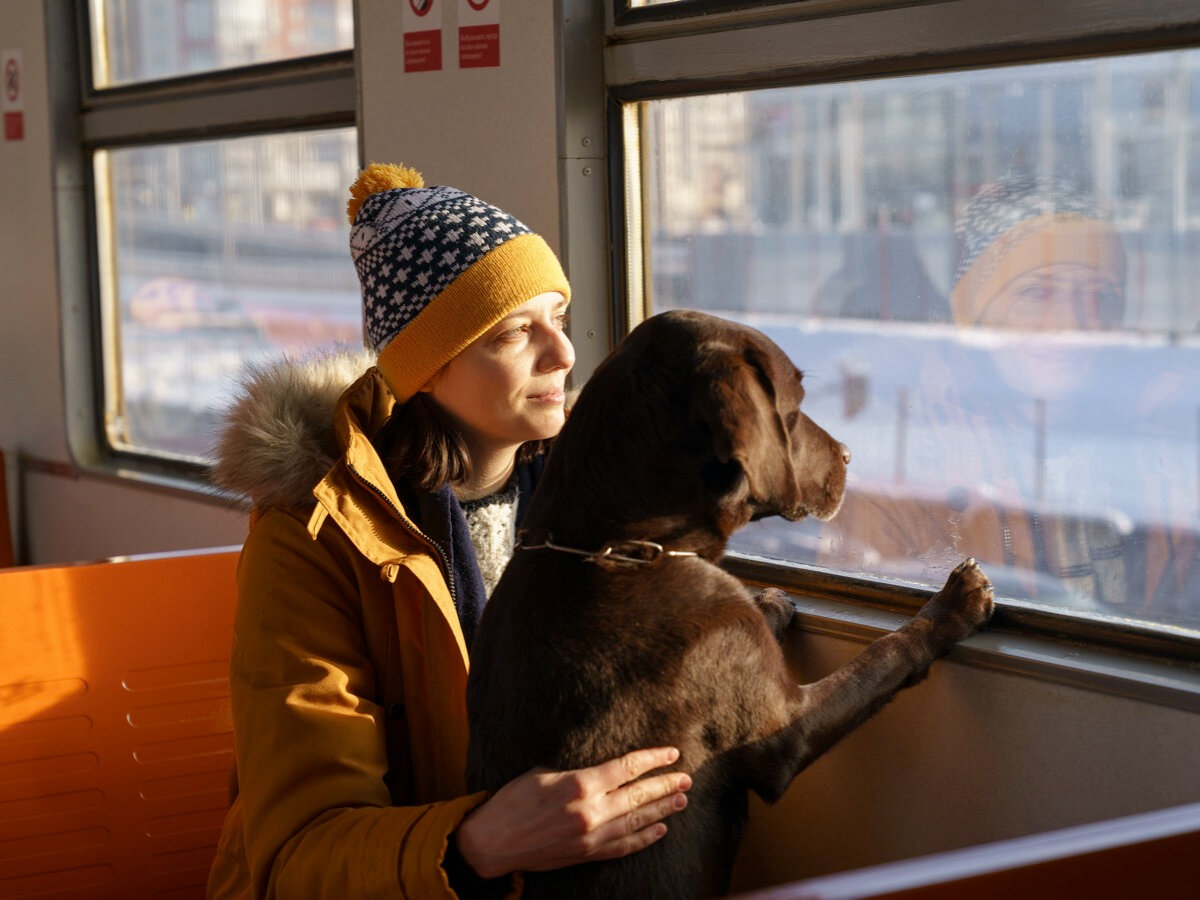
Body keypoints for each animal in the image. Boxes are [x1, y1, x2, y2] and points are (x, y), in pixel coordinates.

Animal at [468, 312, 993, 900]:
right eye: (795, 402)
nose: (850, 456)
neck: (615, 546)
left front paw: (770, 600)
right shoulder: (784, 728)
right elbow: (883, 655)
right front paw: (952, 606)